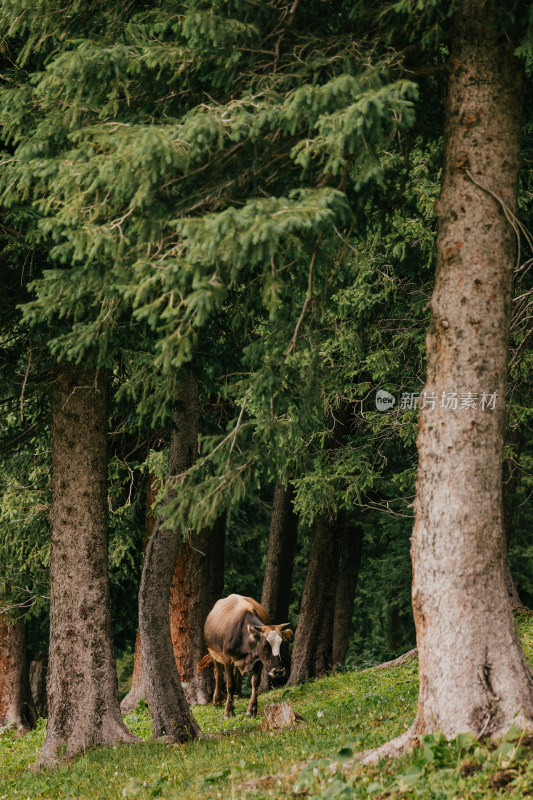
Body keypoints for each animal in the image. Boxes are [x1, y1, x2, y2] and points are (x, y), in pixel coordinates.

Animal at [197, 592, 294, 720]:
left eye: (282, 644)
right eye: (265, 645)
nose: (278, 671)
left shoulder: (259, 660)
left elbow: (255, 682)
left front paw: (252, 709)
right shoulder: (227, 659)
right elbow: (230, 684)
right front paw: (228, 712)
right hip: (214, 652)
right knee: (217, 675)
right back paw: (217, 701)